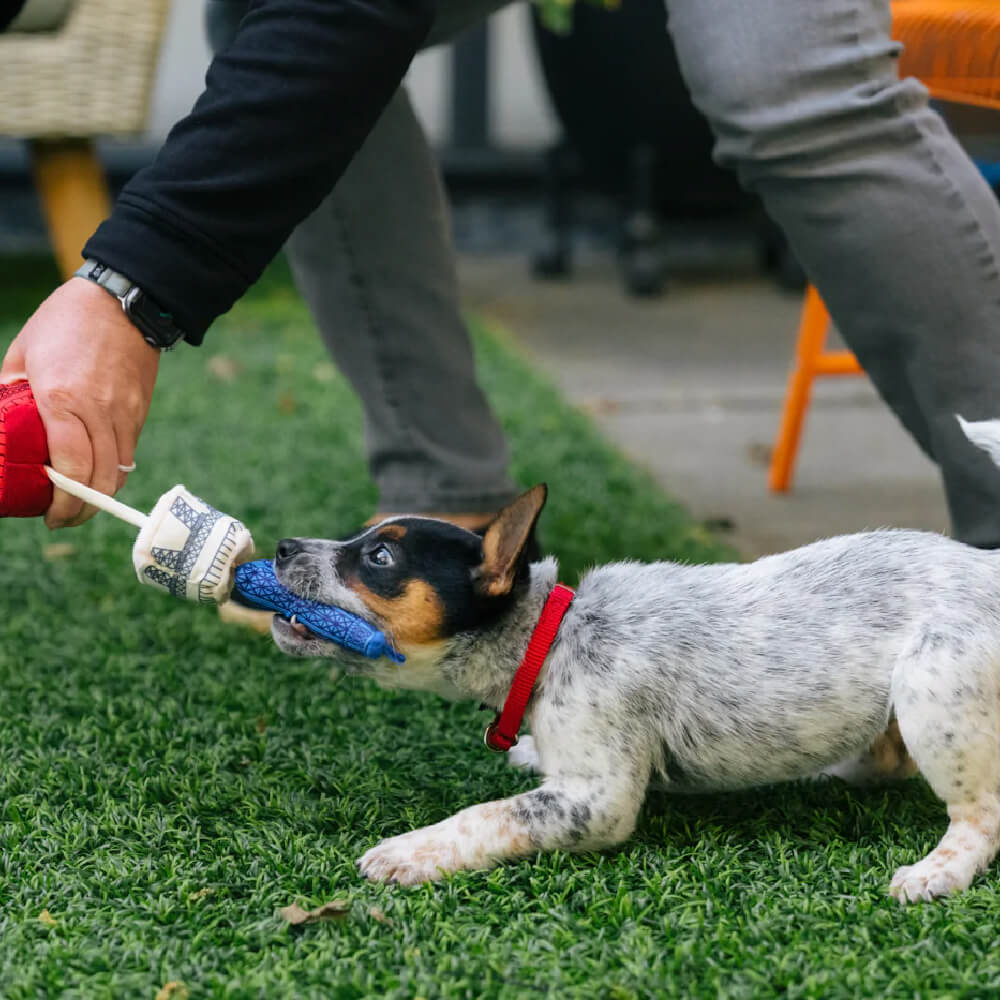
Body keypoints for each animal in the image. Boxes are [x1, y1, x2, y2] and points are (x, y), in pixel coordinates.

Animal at [268, 418, 1000, 904]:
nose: (280, 546)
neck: (551, 637)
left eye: (379, 558)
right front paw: (529, 752)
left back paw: (939, 870)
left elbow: (488, 815)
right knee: (885, 760)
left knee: (980, 812)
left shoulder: (598, 800)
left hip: (932, 691)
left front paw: (409, 851)